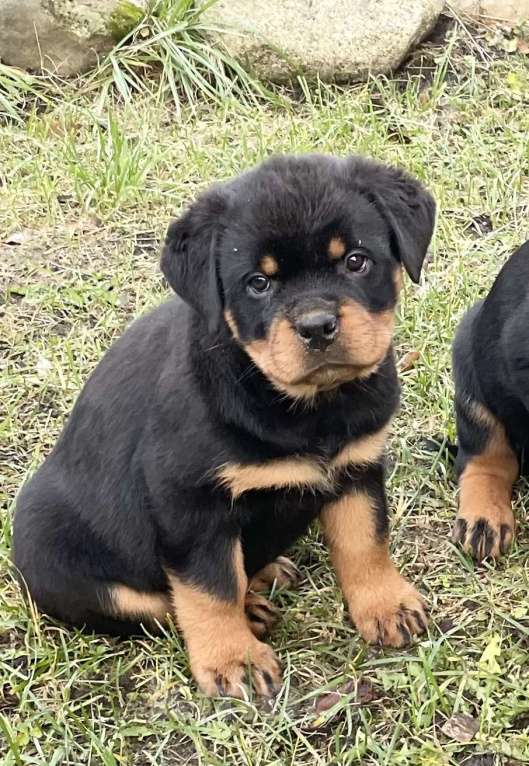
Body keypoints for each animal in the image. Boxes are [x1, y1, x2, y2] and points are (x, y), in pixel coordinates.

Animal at [12, 153, 436, 700]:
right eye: (258, 283)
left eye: (356, 261)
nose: (317, 326)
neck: (304, 406)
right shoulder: (189, 502)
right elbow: (208, 588)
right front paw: (234, 659)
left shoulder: (357, 465)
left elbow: (366, 541)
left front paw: (386, 606)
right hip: (60, 556)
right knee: (156, 604)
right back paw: (249, 609)